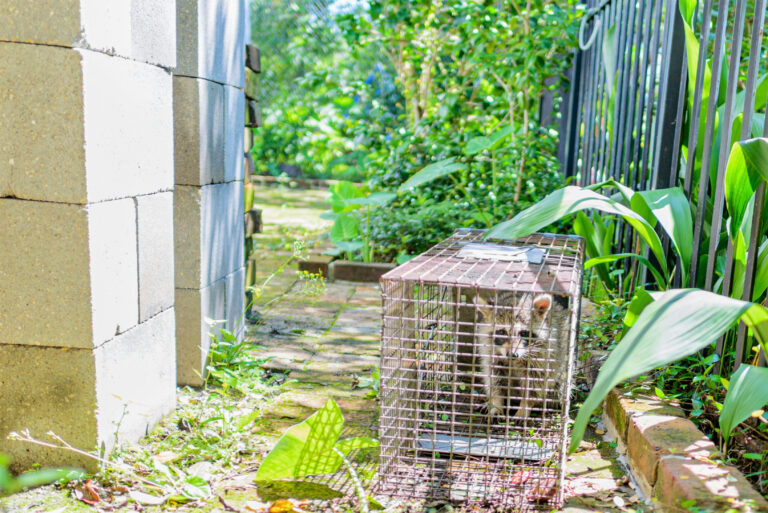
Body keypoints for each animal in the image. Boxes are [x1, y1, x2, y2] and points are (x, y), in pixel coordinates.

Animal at [474, 290, 568, 418]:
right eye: (502, 332)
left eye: (523, 333)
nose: (512, 354)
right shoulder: (491, 354)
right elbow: (496, 379)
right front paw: (497, 402)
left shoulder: (543, 354)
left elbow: (535, 383)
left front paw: (525, 406)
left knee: (558, 386)